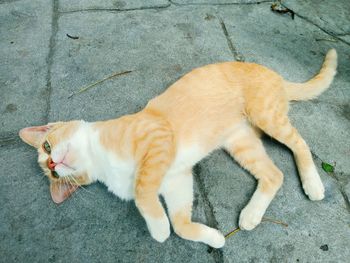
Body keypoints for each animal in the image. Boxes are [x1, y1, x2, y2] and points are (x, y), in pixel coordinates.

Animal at [18, 49, 336, 250]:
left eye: (46, 145)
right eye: (52, 177)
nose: (52, 165)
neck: (101, 161)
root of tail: (275, 75)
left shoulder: (158, 140)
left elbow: (143, 194)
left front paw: (158, 228)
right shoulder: (176, 180)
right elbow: (181, 223)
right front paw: (213, 237)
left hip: (266, 116)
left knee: (300, 144)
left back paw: (313, 184)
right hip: (241, 143)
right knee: (274, 174)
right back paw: (251, 215)